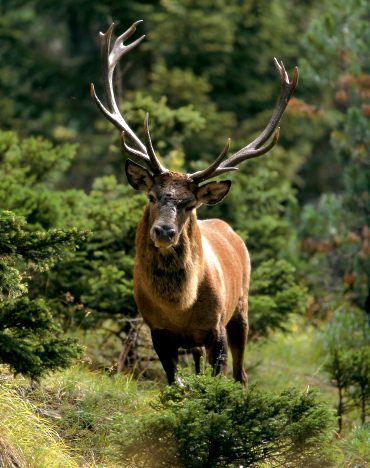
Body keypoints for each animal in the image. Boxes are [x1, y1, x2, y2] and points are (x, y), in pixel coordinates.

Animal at [91, 20, 300, 386]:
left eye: (190, 204)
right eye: (152, 196)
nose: (163, 231)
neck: (181, 309)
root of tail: (227, 227)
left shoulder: (215, 330)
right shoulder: (158, 331)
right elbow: (174, 381)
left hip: (241, 309)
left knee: (242, 374)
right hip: (198, 343)